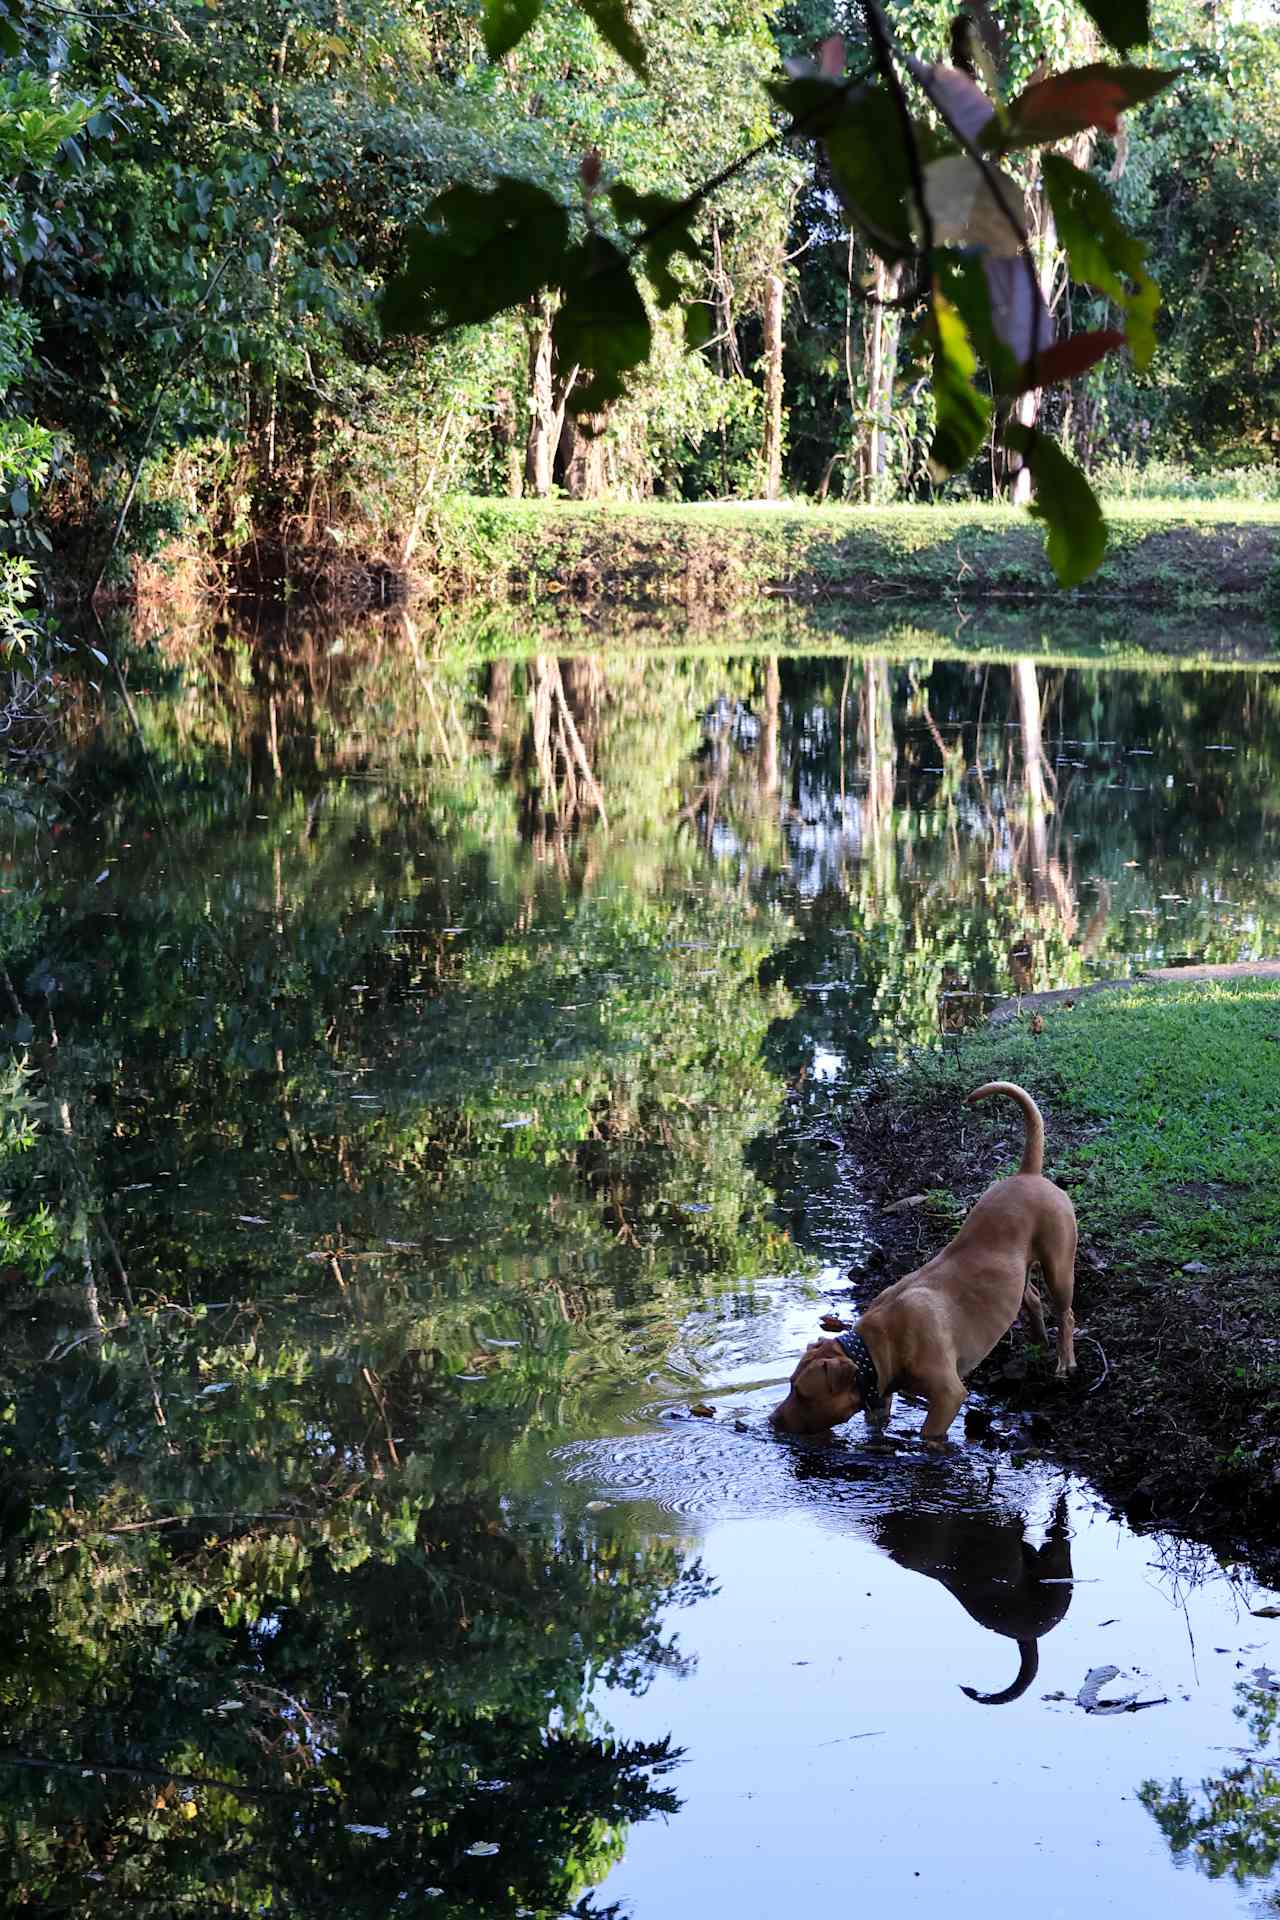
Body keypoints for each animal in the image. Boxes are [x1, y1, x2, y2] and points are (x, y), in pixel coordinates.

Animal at [775, 1082, 1074, 1443]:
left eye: (801, 1393)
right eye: (790, 1385)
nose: (772, 1420)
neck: (875, 1345)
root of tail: (1028, 1174)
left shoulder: (947, 1396)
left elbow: (929, 1434)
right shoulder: (879, 1393)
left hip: (1059, 1265)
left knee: (1066, 1313)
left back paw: (1064, 1361)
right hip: (1019, 1274)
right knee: (1031, 1298)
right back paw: (1039, 1340)